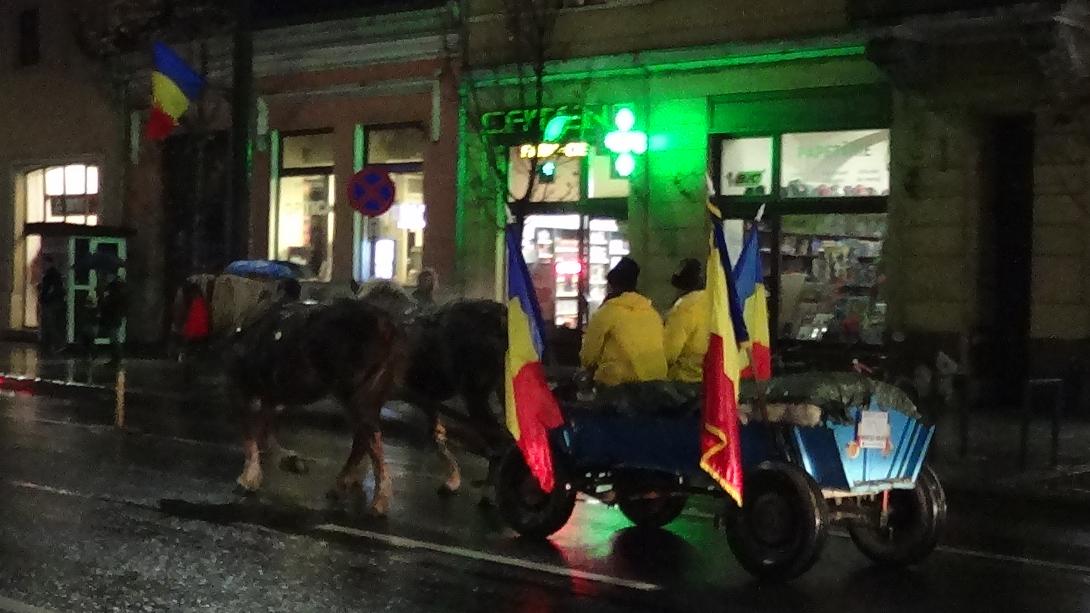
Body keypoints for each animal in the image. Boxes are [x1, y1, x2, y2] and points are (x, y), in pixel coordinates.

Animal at [227, 294, 407, 510]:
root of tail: (389, 326)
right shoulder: (268, 395)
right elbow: (264, 428)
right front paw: (283, 459)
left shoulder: (243, 391)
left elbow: (250, 437)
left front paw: (248, 479)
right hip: (371, 395)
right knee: (363, 439)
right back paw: (343, 486)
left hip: (358, 395)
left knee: (371, 440)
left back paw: (376, 501)